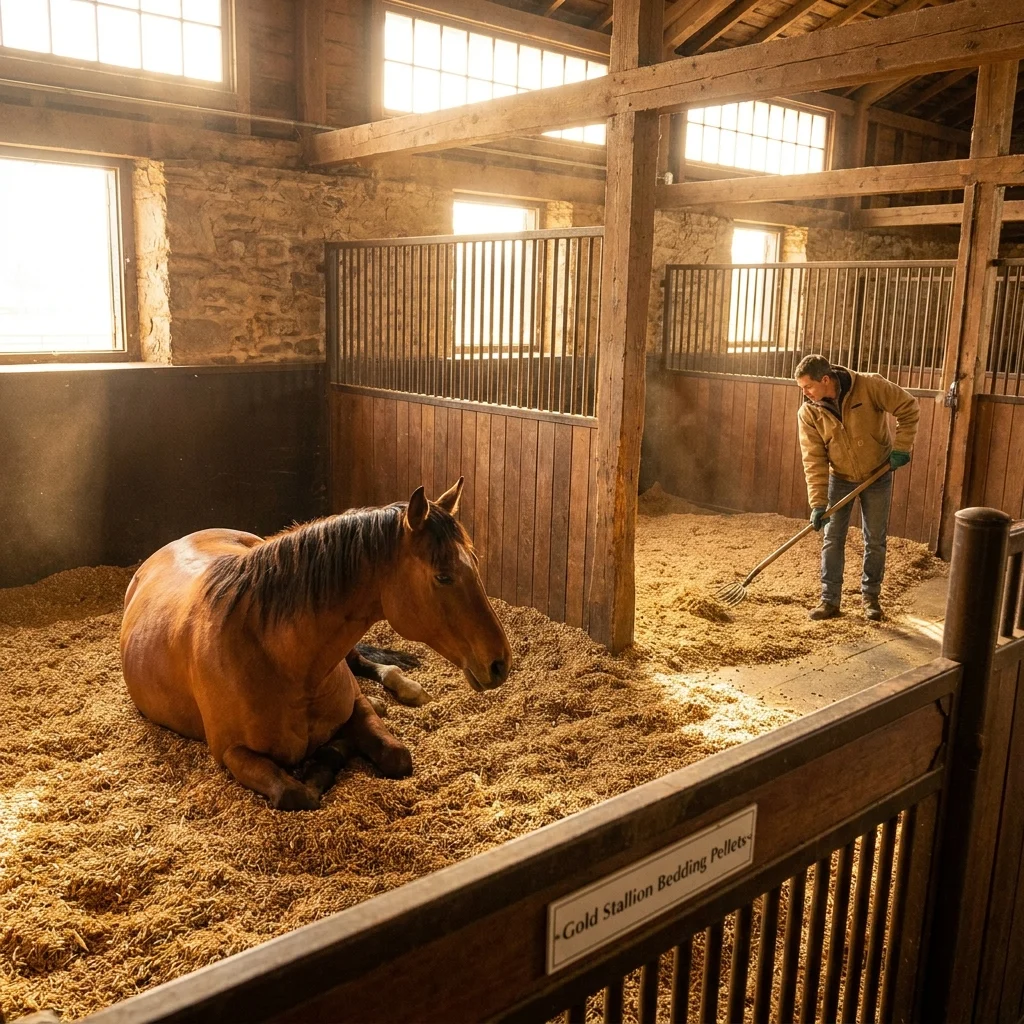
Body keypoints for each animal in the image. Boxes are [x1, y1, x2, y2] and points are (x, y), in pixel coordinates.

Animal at [120, 479, 512, 810]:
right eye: (443, 576)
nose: (500, 663)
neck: (281, 663)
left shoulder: (355, 706)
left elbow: (397, 756)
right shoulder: (233, 752)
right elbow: (295, 794)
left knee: (366, 663)